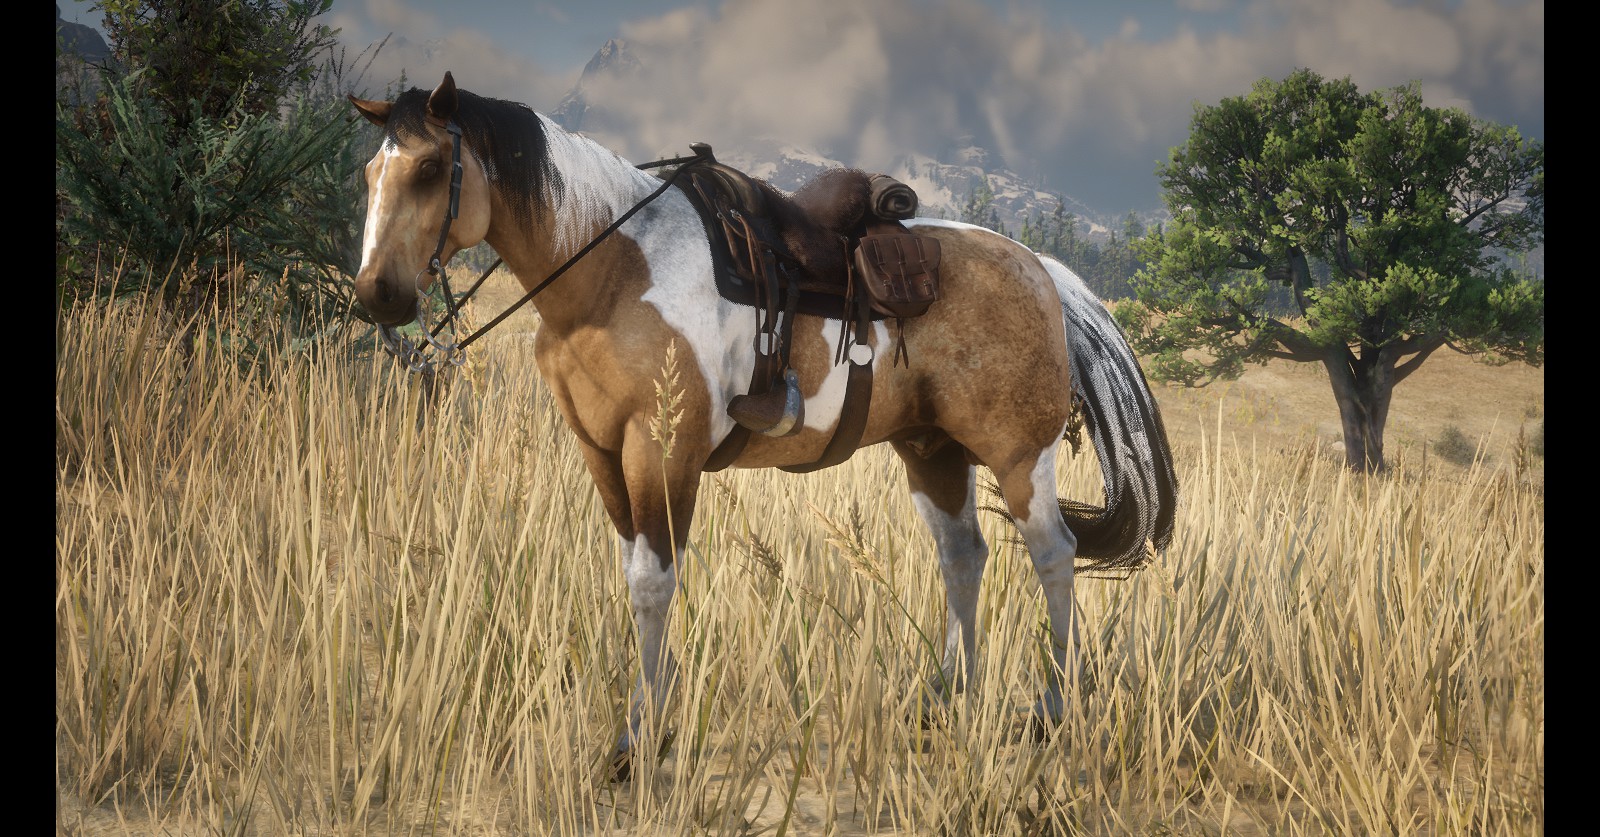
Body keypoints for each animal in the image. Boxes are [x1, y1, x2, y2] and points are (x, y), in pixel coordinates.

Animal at [349, 72, 1177, 777]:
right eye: (368, 175)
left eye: (431, 169)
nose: (378, 295)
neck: (612, 275)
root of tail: (1040, 268)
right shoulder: (603, 452)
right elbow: (635, 573)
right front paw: (652, 722)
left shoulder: (663, 450)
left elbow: (653, 582)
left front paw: (637, 741)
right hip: (931, 450)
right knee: (963, 556)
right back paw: (946, 701)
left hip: (1018, 453)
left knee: (1053, 555)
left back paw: (1052, 708)